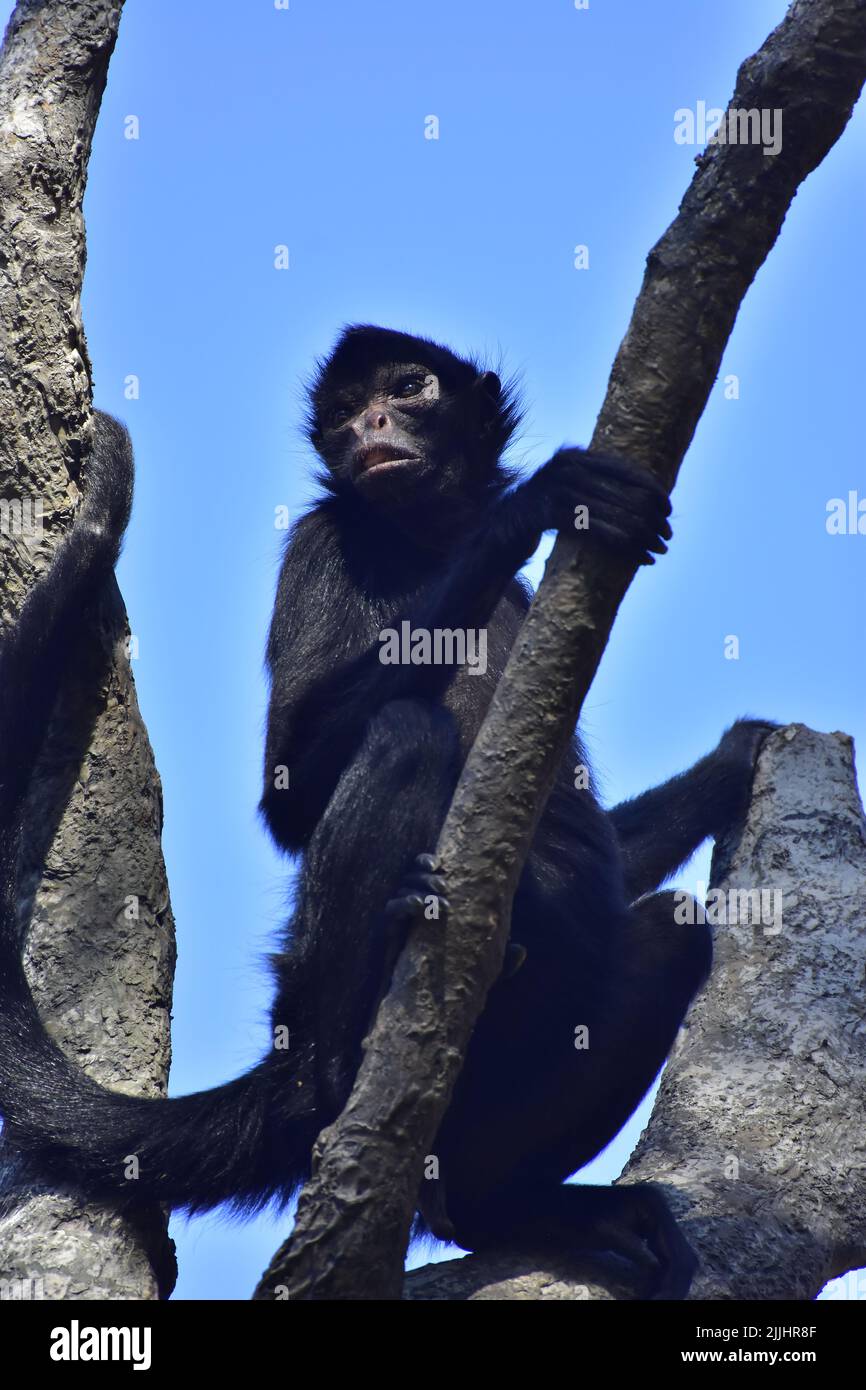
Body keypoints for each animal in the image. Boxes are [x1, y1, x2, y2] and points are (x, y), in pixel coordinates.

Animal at [0, 327, 774, 1298]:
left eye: (408, 389)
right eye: (342, 410)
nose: (367, 424)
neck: (419, 539)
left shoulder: (529, 596)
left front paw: (729, 766)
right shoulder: (318, 541)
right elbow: (290, 794)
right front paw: (530, 506)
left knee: (673, 930)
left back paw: (504, 1208)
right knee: (410, 730)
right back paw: (354, 1047)